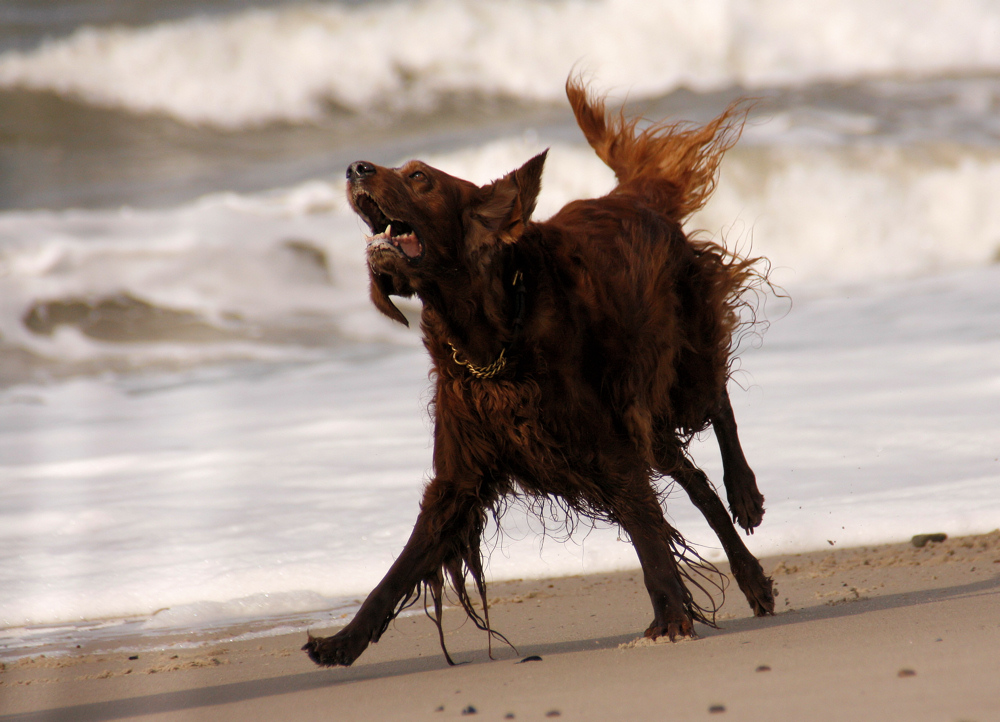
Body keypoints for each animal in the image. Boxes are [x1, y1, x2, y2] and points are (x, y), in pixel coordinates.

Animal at [304, 77, 772, 664]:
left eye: (419, 177)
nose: (354, 168)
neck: (493, 342)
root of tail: (629, 196)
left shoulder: (607, 449)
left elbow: (646, 532)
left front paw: (669, 615)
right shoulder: (459, 478)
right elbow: (397, 571)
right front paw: (342, 641)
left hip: (678, 361)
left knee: (719, 405)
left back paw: (746, 495)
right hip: (646, 420)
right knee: (697, 482)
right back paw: (752, 577)